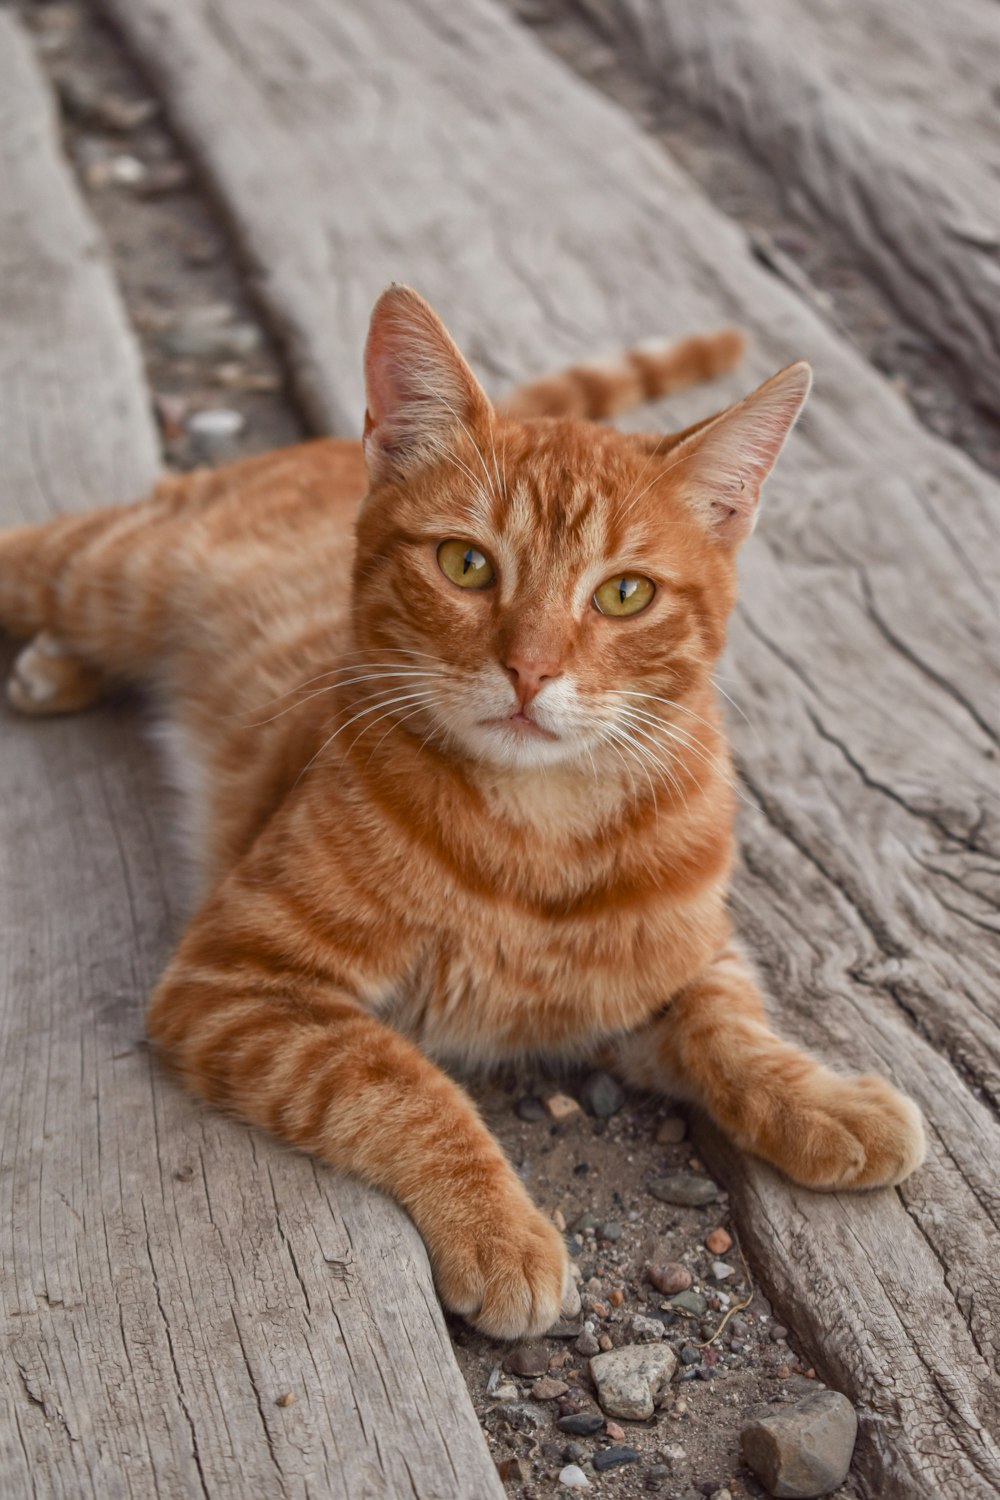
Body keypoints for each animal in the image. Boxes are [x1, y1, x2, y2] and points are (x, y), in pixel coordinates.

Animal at [0, 283, 929, 1338]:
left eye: (625, 593)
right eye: (467, 565)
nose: (530, 670)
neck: (539, 831)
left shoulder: (670, 961)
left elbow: (730, 1023)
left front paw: (822, 1102)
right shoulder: (236, 980)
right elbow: (400, 1083)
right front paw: (500, 1228)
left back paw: (56, 666)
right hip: (101, 571)